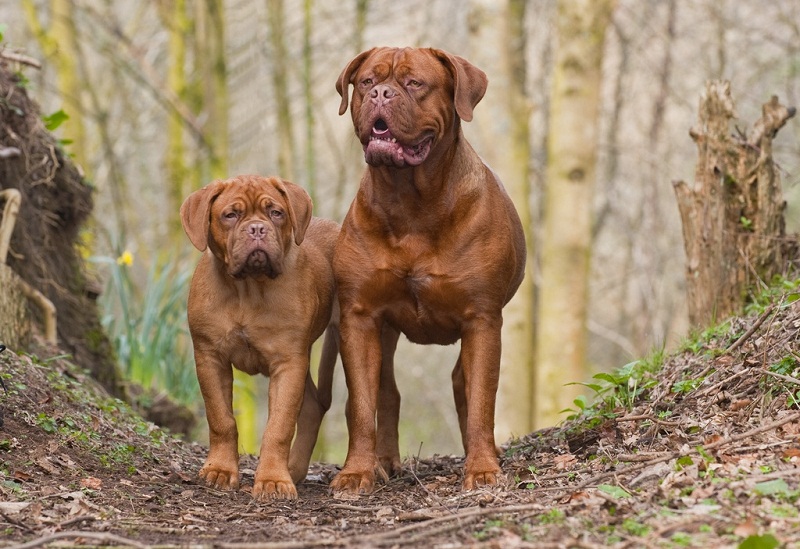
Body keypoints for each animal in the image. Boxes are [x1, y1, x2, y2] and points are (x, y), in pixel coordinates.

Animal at [180, 173, 338, 498]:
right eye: (231, 215)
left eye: (275, 212)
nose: (257, 228)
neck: (248, 290)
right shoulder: (210, 357)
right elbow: (221, 418)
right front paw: (219, 469)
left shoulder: (288, 363)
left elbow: (279, 426)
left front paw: (274, 480)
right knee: (313, 405)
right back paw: (295, 469)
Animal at [328, 46, 528, 492]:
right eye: (366, 82)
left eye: (414, 83)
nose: (381, 94)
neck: (411, 203)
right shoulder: (360, 317)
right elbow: (362, 406)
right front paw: (356, 471)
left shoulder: (482, 319)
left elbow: (481, 401)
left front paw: (482, 468)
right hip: (383, 332)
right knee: (387, 392)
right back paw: (383, 461)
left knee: (462, 384)